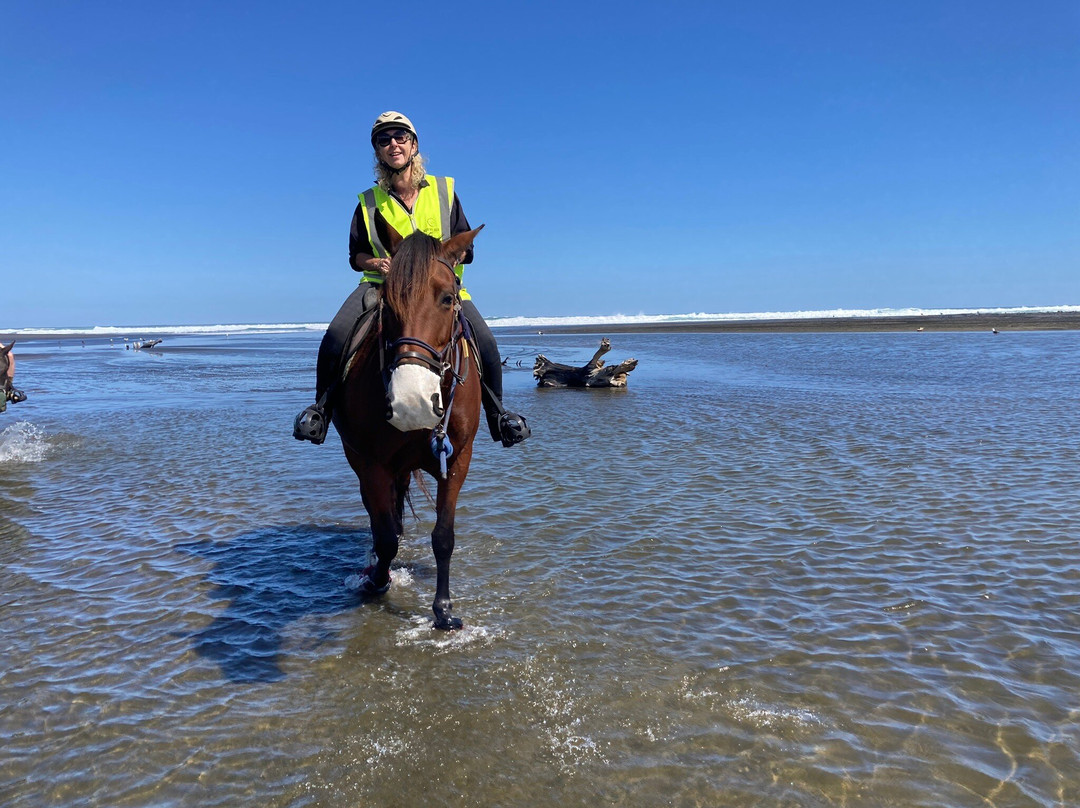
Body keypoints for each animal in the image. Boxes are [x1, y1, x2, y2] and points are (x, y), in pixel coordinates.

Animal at [332, 226, 484, 630]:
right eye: (387, 300)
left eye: (447, 298)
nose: (411, 402)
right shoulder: (372, 463)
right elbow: (385, 536)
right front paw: (376, 581)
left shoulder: (457, 460)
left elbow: (443, 537)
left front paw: (443, 610)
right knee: (377, 517)